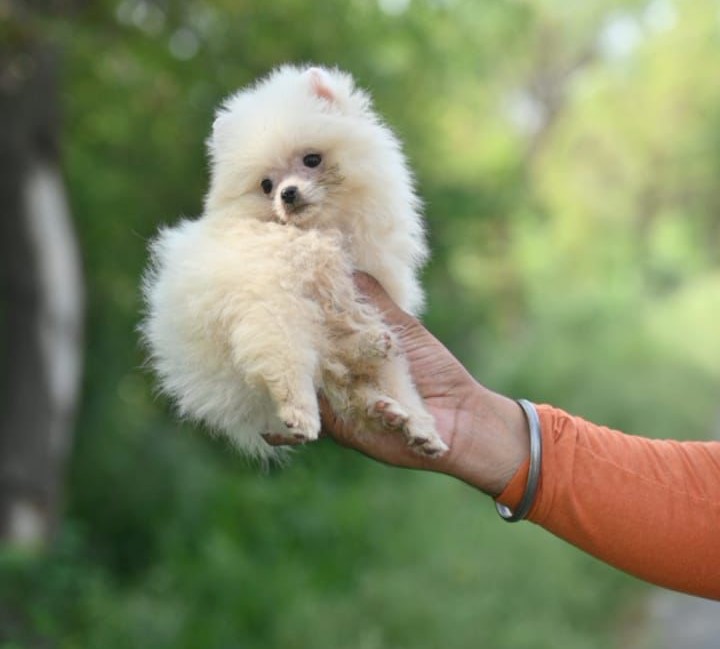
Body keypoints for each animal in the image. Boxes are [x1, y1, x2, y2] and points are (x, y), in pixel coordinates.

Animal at [139, 64, 444, 460]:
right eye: (266, 185)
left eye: (311, 159)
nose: (288, 193)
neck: (317, 234)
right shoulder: (272, 302)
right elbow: (290, 360)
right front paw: (301, 412)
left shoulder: (368, 294)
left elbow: (396, 376)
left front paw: (420, 424)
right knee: (327, 360)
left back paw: (386, 393)